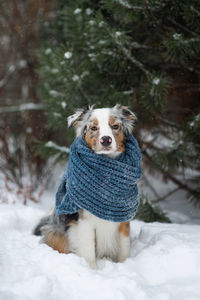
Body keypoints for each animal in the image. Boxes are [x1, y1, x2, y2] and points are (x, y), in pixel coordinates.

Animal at [34, 104, 138, 268]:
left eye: (115, 126)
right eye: (93, 128)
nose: (106, 140)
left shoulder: (123, 219)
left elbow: (124, 249)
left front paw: (124, 265)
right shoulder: (84, 222)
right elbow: (88, 251)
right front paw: (93, 270)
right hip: (55, 233)